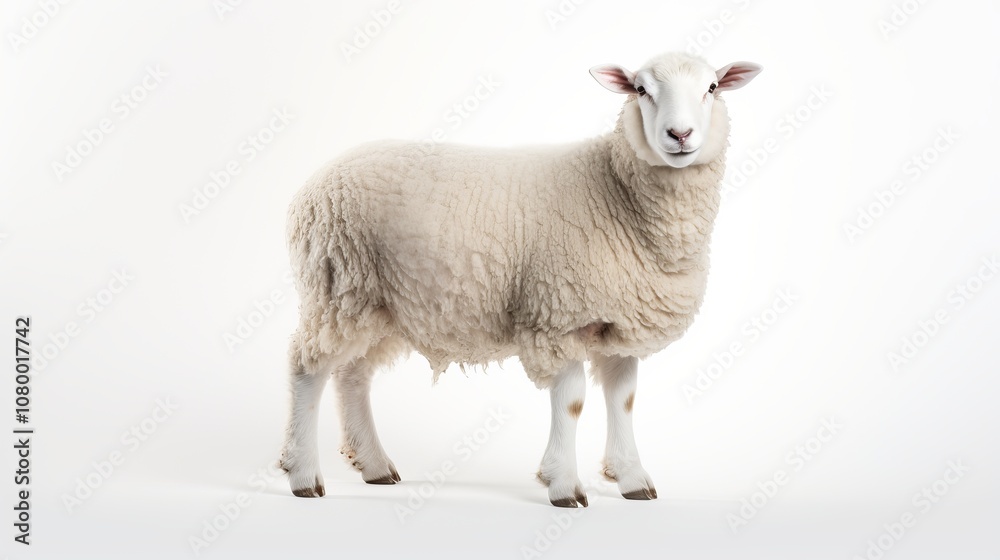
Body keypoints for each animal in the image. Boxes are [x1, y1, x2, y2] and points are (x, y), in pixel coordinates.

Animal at [279, 51, 762, 507]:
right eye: (641, 89)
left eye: (712, 88)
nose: (680, 135)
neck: (614, 190)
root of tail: (313, 184)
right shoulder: (558, 317)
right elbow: (572, 402)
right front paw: (564, 485)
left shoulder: (619, 324)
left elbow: (623, 399)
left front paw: (631, 478)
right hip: (336, 286)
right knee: (307, 368)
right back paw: (303, 474)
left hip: (375, 303)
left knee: (352, 376)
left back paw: (375, 464)